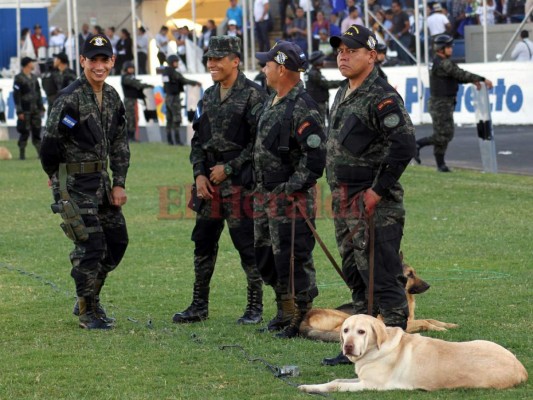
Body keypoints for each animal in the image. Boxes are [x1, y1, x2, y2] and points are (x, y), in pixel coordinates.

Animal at [300, 314, 528, 392]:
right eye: (346, 330)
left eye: (362, 332)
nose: (347, 346)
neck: (377, 349)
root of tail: (522, 369)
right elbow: (335, 380)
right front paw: (307, 387)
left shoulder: (371, 385)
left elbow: (337, 385)